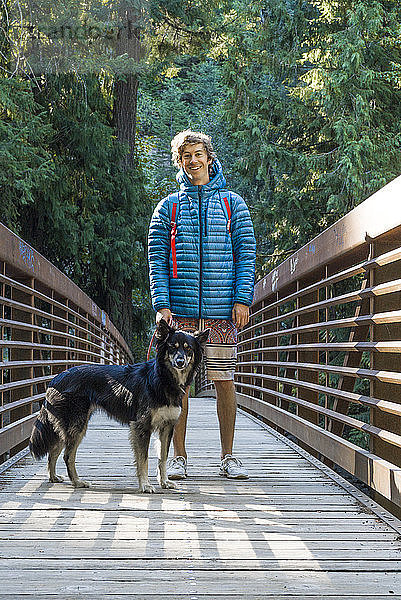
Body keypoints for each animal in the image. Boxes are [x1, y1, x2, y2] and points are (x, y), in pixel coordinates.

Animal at [28, 322, 209, 494]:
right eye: (172, 346)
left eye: (188, 348)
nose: (180, 362)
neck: (163, 378)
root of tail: (56, 378)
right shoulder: (142, 427)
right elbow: (143, 459)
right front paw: (145, 485)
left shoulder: (167, 427)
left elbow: (162, 457)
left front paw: (164, 482)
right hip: (76, 425)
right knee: (67, 456)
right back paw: (77, 482)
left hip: (67, 427)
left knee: (53, 452)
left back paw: (53, 477)